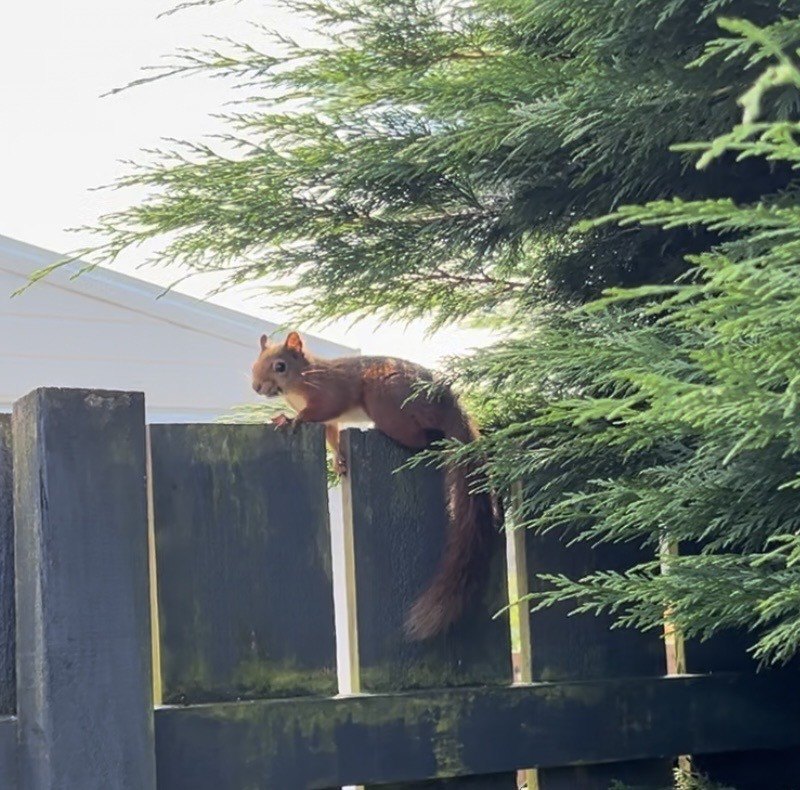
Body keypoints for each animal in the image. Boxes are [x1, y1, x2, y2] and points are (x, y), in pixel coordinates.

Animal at [253, 332, 496, 640]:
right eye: (254, 364)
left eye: (280, 366)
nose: (256, 386)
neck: (302, 380)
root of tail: (449, 403)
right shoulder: (332, 423)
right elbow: (331, 437)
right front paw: (339, 462)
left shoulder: (330, 394)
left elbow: (319, 411)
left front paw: (292, 419)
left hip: (384, 399)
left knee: (420, 438)